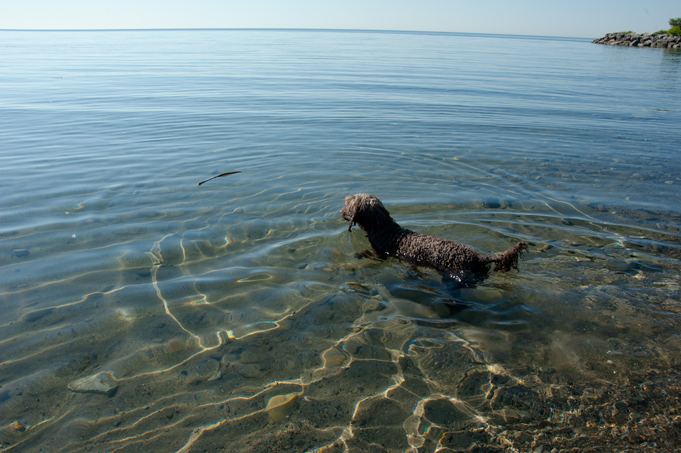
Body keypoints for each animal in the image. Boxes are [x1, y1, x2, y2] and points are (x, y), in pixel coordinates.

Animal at [342, 193, 528, 282]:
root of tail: (479, 257)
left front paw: (357, 254)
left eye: (347, 204)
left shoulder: (380, 253)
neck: (384, 228)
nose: (341, 212)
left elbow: (369, 255)